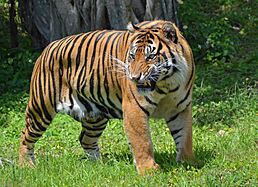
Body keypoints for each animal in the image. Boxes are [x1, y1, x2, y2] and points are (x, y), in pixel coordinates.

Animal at [18, 19, 196, 175]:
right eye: (132, 56)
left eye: (150, 57)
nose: (134, 77)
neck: (167, 83)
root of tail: (48, 47)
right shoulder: (134, 108)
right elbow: (142, 141)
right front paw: (149, 171)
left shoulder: (180, 108)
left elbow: (185, 137)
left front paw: (188, 163)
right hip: (41, 108)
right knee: (25, 136)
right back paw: (26, 165)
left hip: (95, 116)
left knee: (85, 139)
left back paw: (100, 166)